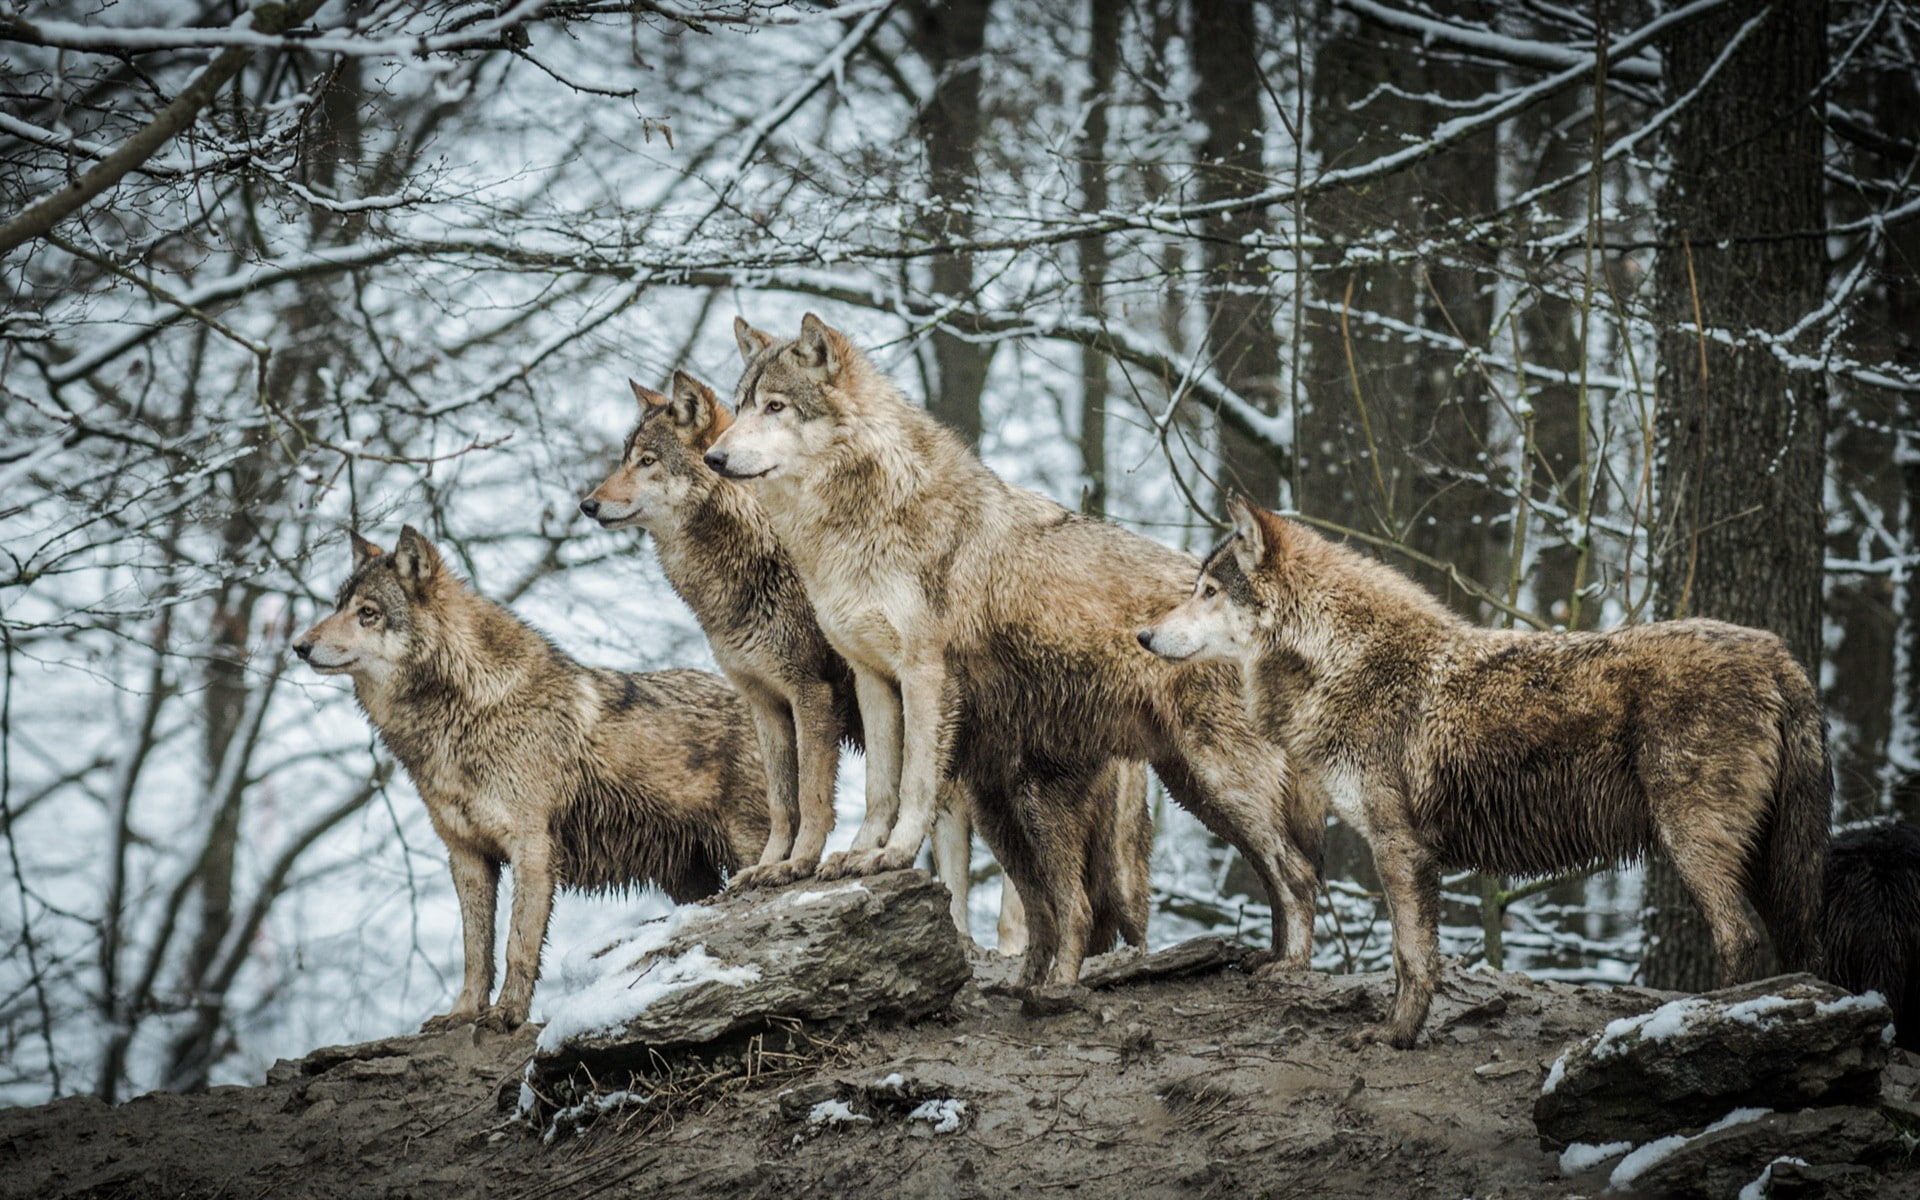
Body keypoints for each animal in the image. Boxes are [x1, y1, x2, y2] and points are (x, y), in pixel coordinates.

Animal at [294, 526, 768, 1031]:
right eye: (337, 606)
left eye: (368, 613)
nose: (298, 646)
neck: (466, 711)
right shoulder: (467, 856)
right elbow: (475, 951)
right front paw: (463, 1013)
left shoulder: (533, 850)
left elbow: (518, 944)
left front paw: (506, 1015)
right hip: (687, 881)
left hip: (746, 848)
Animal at [580, 370, 1152, 955]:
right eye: (625, 458)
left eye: (647, 461)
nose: (587, 505)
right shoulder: (765, 704)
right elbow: (782, 804)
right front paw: (766, 868)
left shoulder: (811, 694)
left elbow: (811, 798)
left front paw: (798, 866)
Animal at [704, 315, 1322, 991]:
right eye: (739, 405)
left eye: (775, 407)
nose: (713, 457)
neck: (857, 523)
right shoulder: (873, 680)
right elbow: (878, 789)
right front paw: (862, 855)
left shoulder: (924, 674)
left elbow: (914, 783)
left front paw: (894, 853)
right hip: (1172, 792)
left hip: (1215, 782)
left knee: (1296, 874)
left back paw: (1289, 968)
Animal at [1140, 498, 1831, 1047]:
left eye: (1208, 591)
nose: (1142, 636)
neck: (1340, 662)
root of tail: (1779, 655)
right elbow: (1413, 954)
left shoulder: (1399, 848)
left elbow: (1412, 958)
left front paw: (1395, 1037)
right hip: (1762, 859)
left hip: (1693, 843)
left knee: (1740, 938)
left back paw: (1699, 1021)